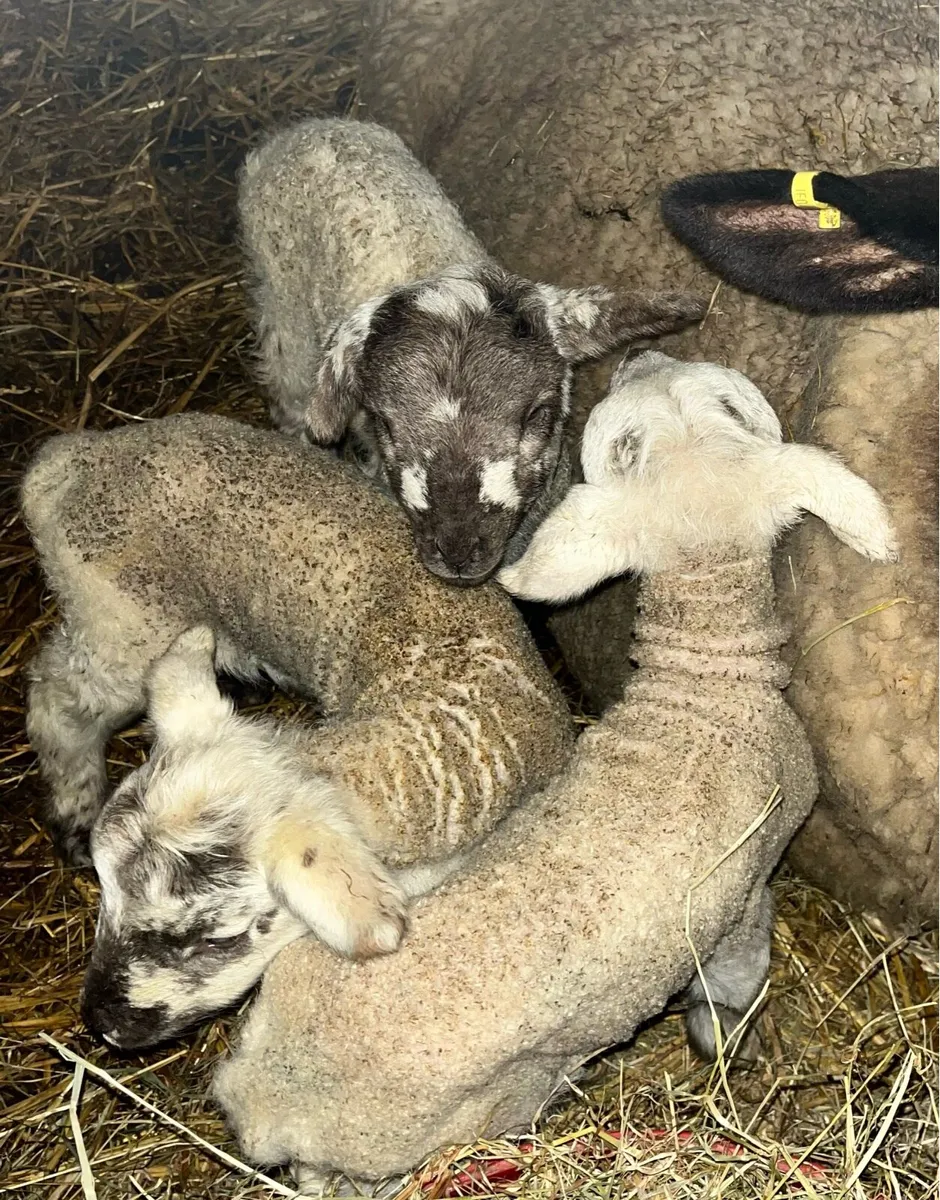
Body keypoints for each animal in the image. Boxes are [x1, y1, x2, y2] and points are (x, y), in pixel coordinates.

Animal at [21, 414, 573, 1049]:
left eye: (217, 938)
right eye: (104, 891)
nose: (101, 1023)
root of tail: (72, 459)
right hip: (118, 620)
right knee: (57, 698)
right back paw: (73, 806)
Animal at [212, 351, 898, 1189]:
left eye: (724, 402)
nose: (641, 356)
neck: (704, 684)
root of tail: (271, 1094)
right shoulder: (750, 890)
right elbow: (737, 975)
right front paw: (725, 1038)